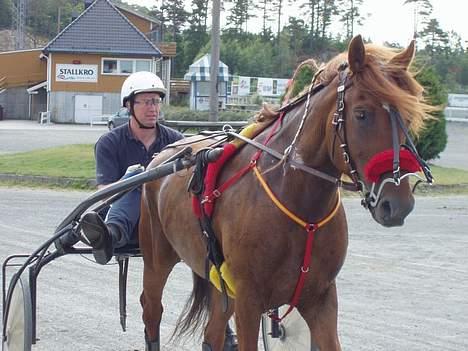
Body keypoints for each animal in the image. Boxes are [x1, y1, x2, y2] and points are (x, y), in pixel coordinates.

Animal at [138, 36, 432, 351]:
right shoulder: (248, 299)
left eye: (407, 117)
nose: (397, 203)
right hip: (157, 260)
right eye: (361, 114)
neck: (299, 202)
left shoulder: (320, 296)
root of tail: (164, 154)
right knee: (152, 310)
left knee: (212, 331)